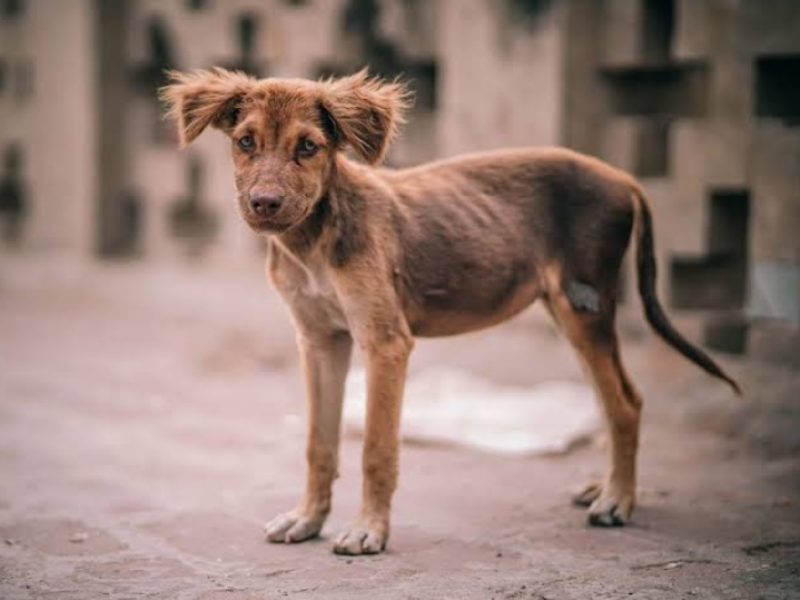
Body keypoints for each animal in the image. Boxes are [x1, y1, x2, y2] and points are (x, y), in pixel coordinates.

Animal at [159, 68, 740, 556]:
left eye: (308, 147)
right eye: (245, 142)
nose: (264, 203)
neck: (315, 240)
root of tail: (622, 176)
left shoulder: (385, 341)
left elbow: (375, 447)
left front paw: (368, 530)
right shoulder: (320, 341)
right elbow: (318, 444)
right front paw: (307, 518)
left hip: (585, 304)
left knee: (624, 402)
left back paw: (618, 500)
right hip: (567, 311)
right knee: (611, 396)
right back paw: (606, 486)